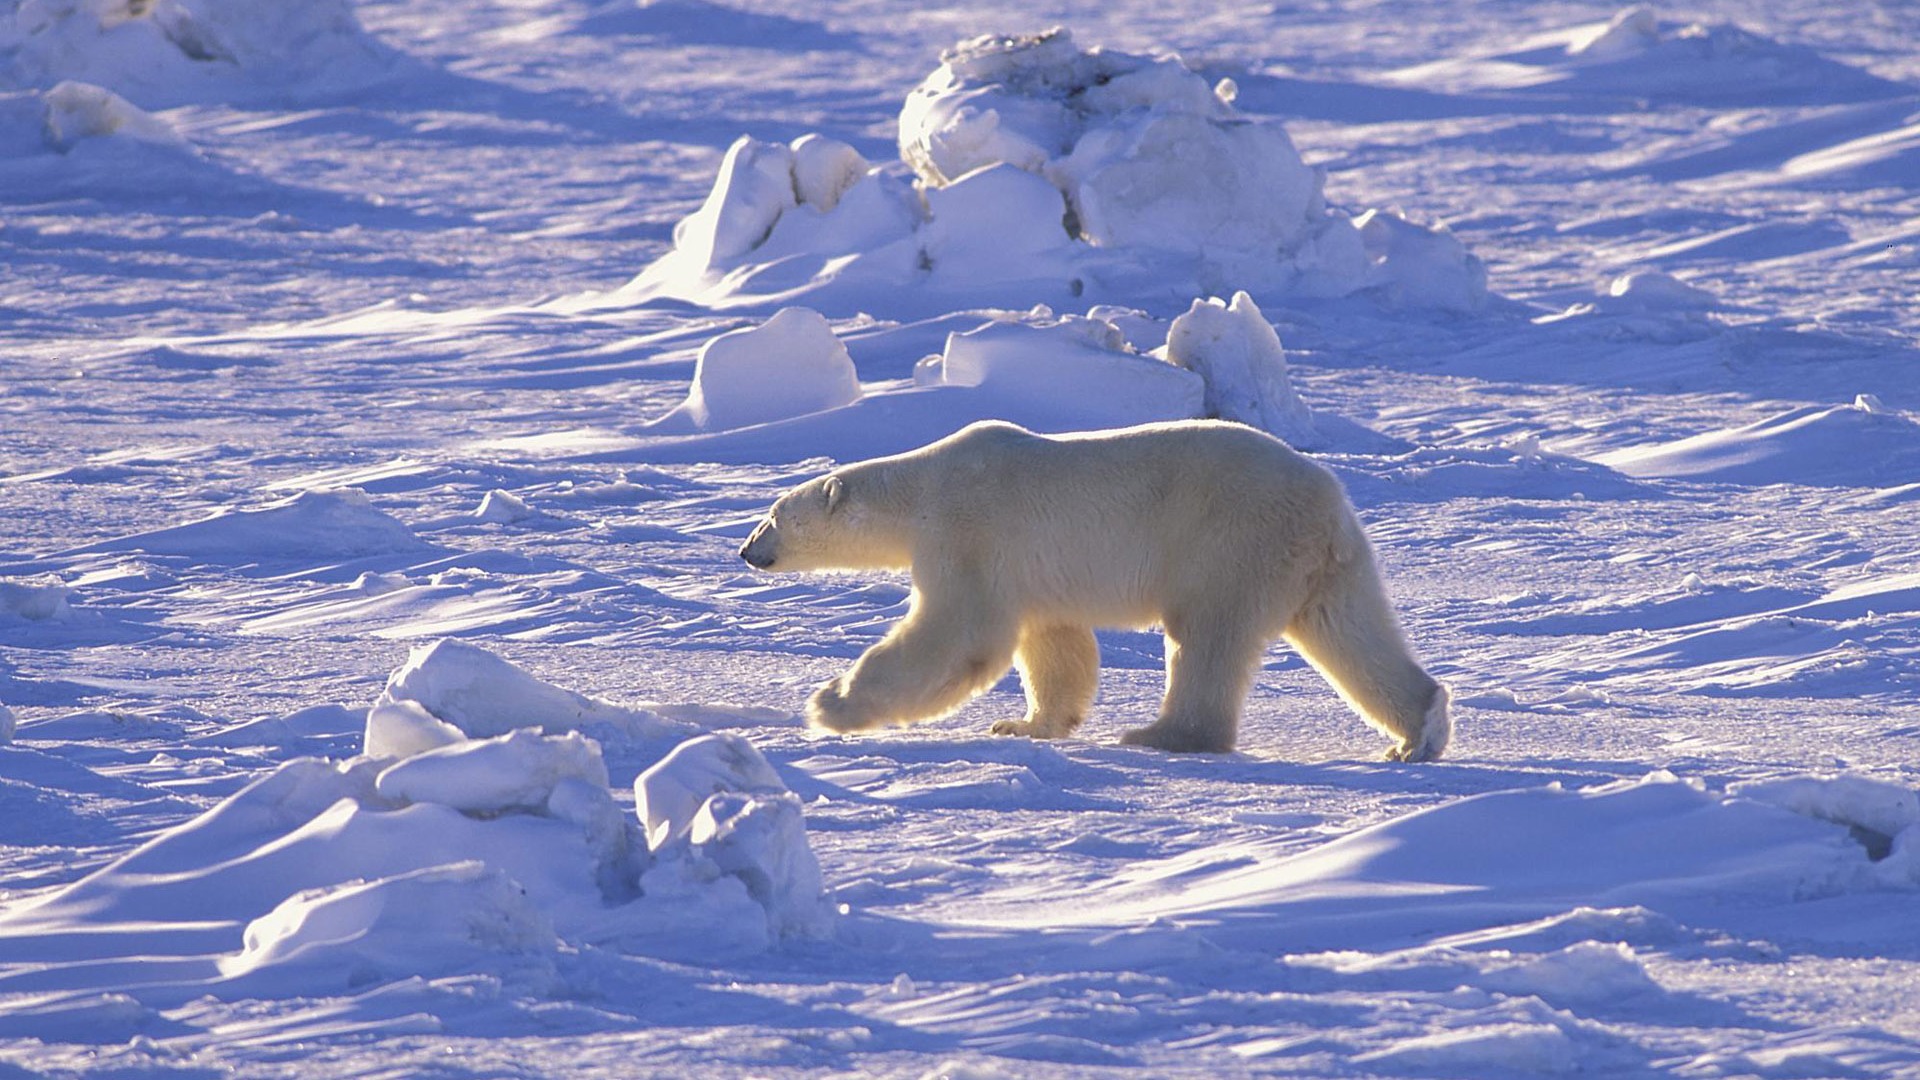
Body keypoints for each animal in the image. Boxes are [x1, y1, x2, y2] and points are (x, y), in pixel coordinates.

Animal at [737, 417, 1451, 760]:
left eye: (773, 515)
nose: (746, 551)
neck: (923, 488)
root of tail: (1327, 501)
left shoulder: (969, 533)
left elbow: (960, 634)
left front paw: (830, 703)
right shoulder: (1031, 571)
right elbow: (1056, 644)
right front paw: (1024, 724)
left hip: (1230, 540)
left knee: (1207, 637)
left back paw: (1161, 735)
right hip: (1325, 563)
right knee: (1352, 632)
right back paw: (1417, 732)